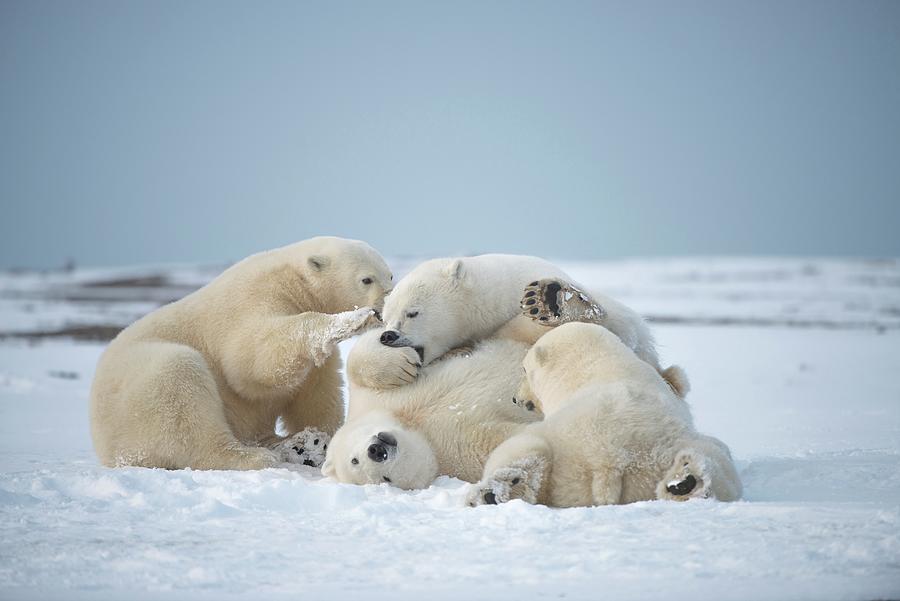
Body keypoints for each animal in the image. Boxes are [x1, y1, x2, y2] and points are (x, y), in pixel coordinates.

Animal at [89, 237, 394, 472]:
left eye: (390, 274)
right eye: (366, 279)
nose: (389, 298)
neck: (293, 281)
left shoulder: (317, 361)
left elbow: (317, 392)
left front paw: (324, 441)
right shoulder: (252, 299)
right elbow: (251, 359)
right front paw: (353, 319)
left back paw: (298, 446)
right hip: (141, 392)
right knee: (181, 391)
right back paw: (256, 456)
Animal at [468, 322, 740, 508]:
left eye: (524, 369)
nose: (516, 398)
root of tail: (609, 460)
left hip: (565, 452)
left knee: (523, 447)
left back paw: (492, 492)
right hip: (652, 461)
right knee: (717, 463)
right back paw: (684, 482)